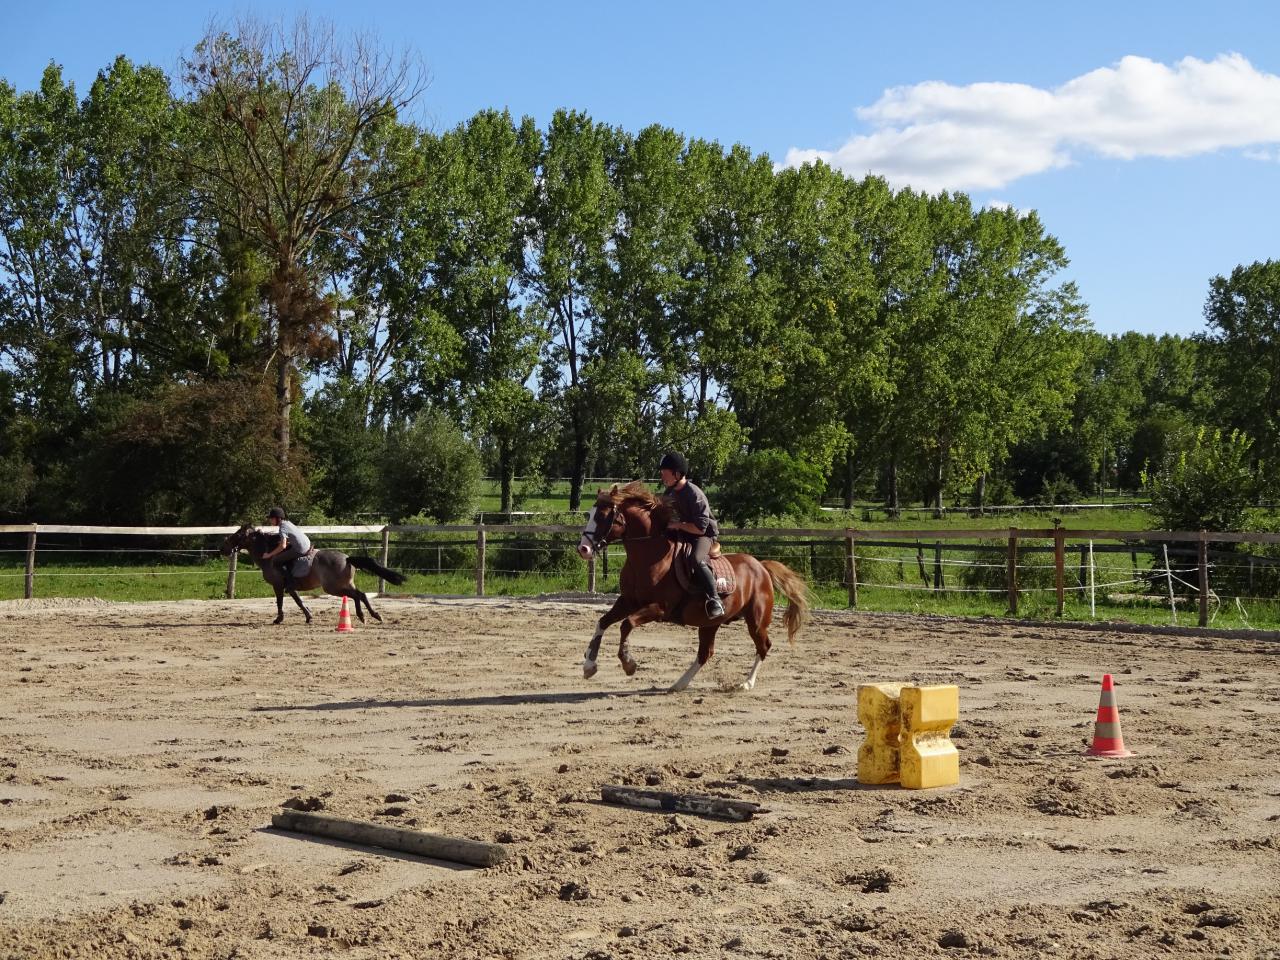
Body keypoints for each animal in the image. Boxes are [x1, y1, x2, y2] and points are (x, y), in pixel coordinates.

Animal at [220, 524, 407, 625]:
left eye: (238, 535)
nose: (223, 549)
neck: (270, 555)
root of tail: (347, 558)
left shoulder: (278, 585)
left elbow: (281, 602)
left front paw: (279, 619)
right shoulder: (290, 587)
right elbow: (299, 601)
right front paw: (309, 616)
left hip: (333, 588)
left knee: (357, 595)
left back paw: (366, 616)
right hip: (344, 584)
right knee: (360, 595)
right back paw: (371, 615)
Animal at [575, 482, 811, 693]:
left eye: (603, 516)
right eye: (590, 514)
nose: (583, 549)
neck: (649, 556)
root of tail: (761, 566)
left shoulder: (659, 607)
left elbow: (626, 624)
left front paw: (628, 663)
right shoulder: (628, 601)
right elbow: (603, 622)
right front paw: (589, 666)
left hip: (756, 620)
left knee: (763, 646)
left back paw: (746, 684)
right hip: (710, 623)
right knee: (705, 653)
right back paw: (679, 684)